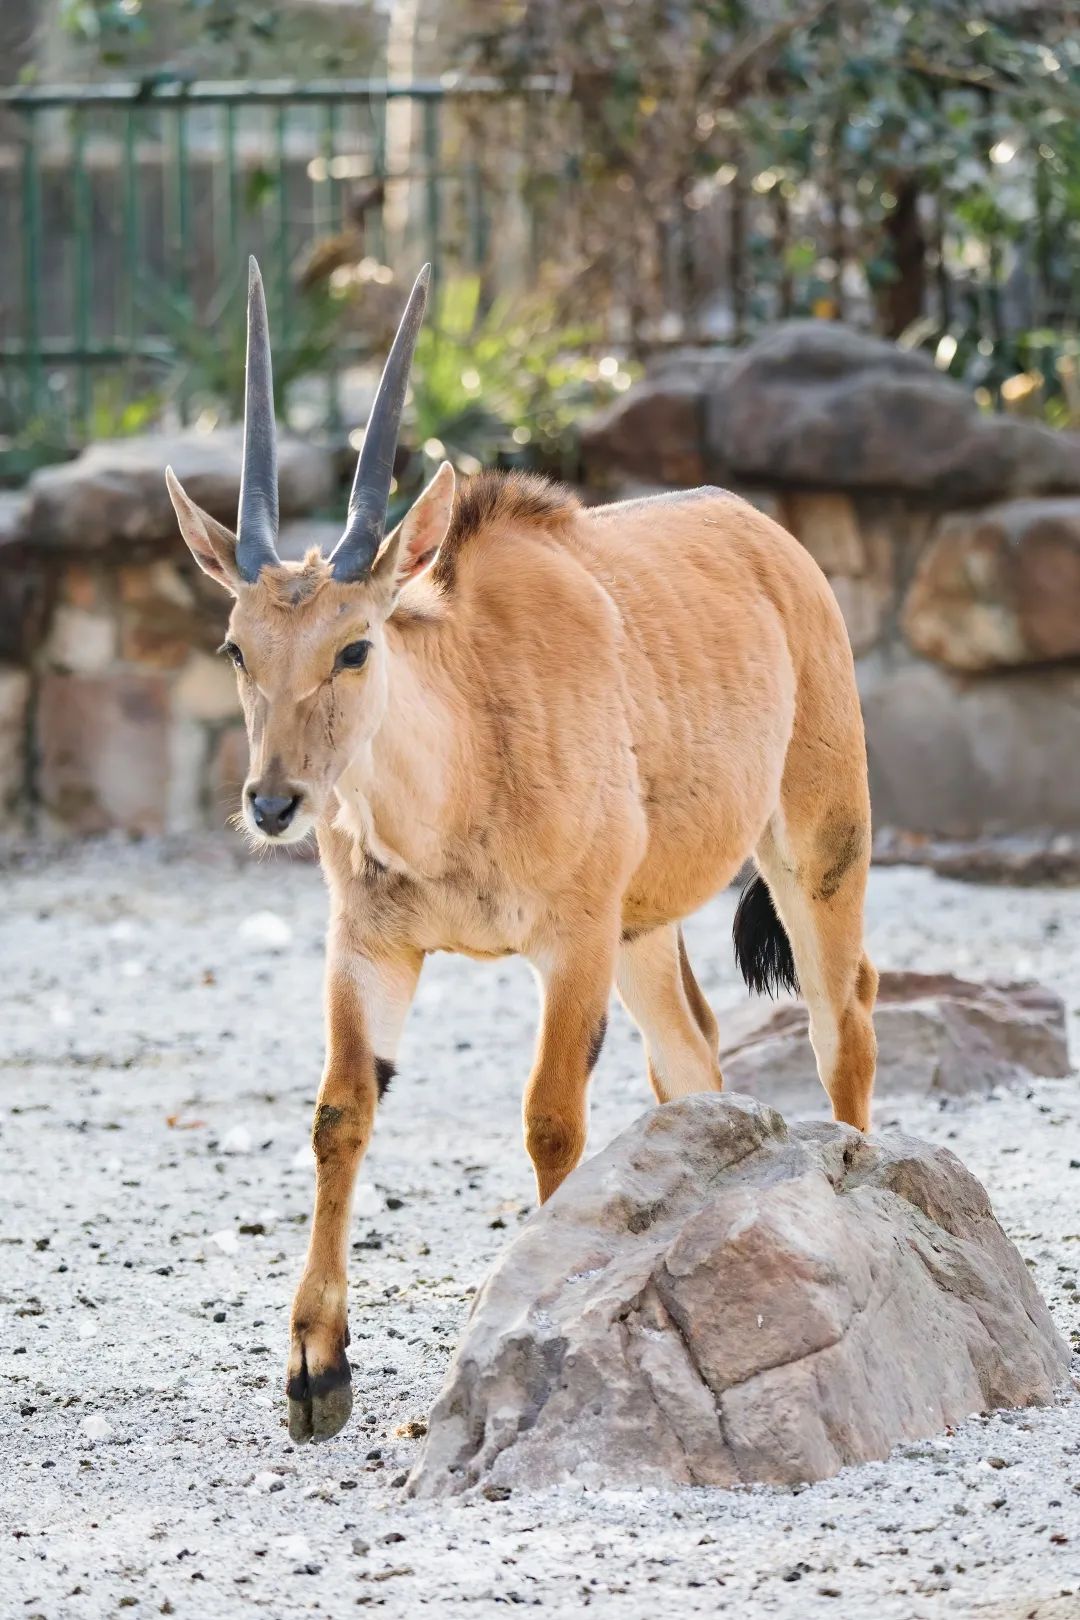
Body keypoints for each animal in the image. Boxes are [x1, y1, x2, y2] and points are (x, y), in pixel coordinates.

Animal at [166, 259, 880, 1451]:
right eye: (236, 648)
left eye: (353, 646)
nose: (273, 803)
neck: (462, 764)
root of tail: (769, 541)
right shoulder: (371, 945)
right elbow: (340, 1112)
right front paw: (316, 1367)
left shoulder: (571, 943)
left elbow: (553, 1120)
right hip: (648, 931)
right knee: (693, 1058)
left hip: (816, 846)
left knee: (845, 1022)